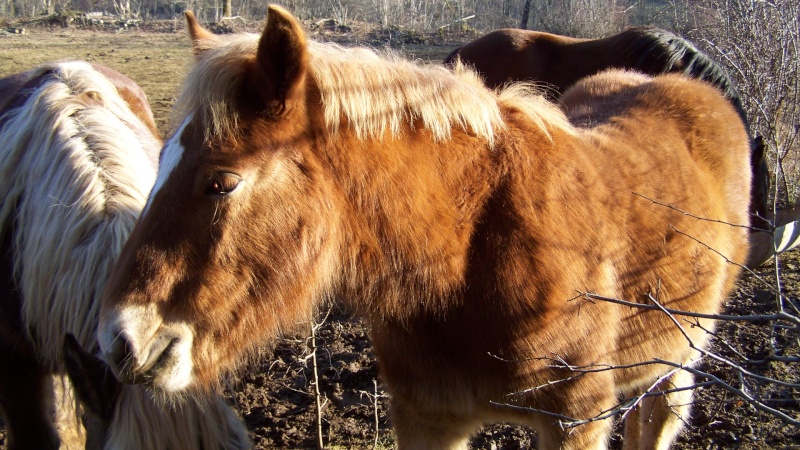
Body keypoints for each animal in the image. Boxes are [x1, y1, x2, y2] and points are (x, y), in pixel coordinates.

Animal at [98, 7, 752, 450]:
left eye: (222, 182)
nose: (118, 342)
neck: (471, 255)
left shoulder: (578, 420)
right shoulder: (427, 419)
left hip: (681, 359)